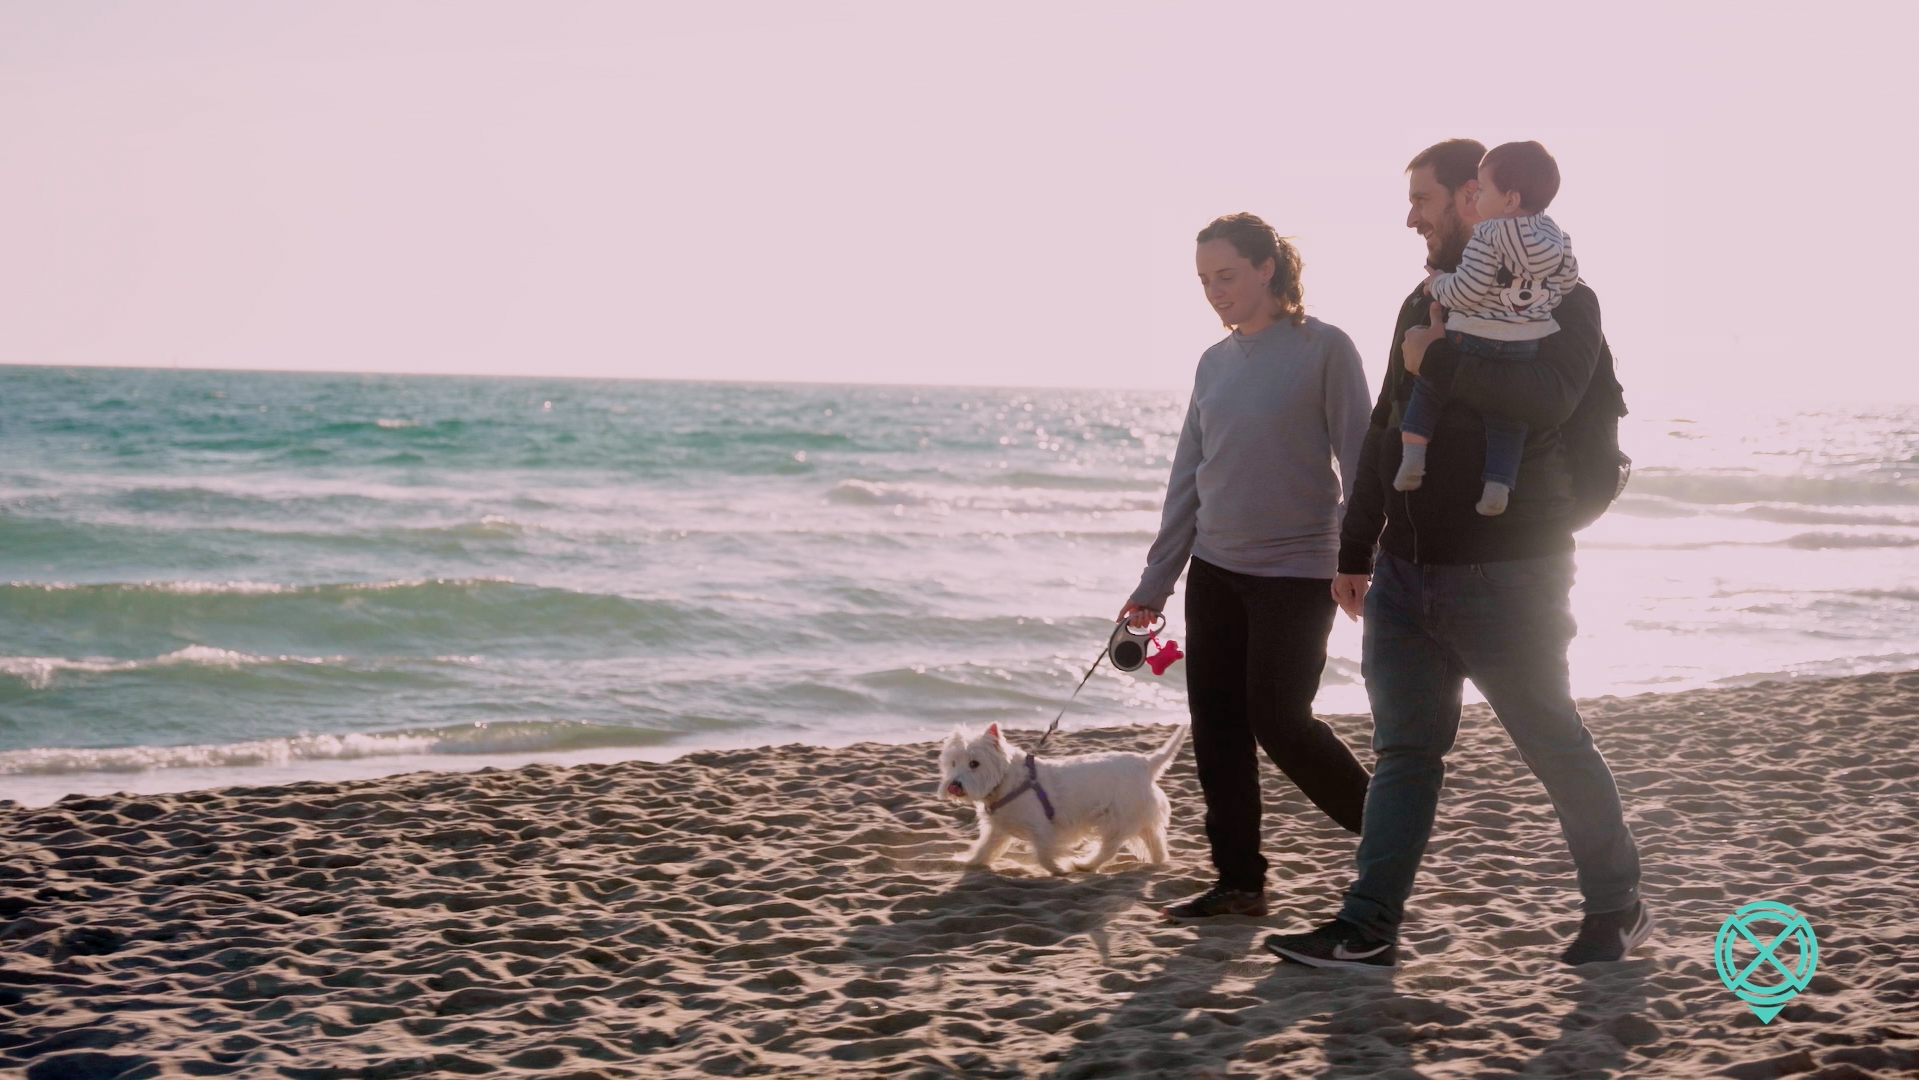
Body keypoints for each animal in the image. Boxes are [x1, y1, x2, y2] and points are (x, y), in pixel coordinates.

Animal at [940, 721, 1189, 874]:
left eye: (974, 764)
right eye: (953, 763)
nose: (954, 785)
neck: (1006, 780)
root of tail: (1146, 763)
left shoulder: (1043, 827)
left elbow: (1043, 853)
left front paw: (1057, 868)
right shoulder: (997, 829)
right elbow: (985, 848)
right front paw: (969, 861)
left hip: (1116, 817)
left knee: (1109, 848)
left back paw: (1084, 865)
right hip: (1138, 816)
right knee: (1155, 841)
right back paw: (1159, 862)